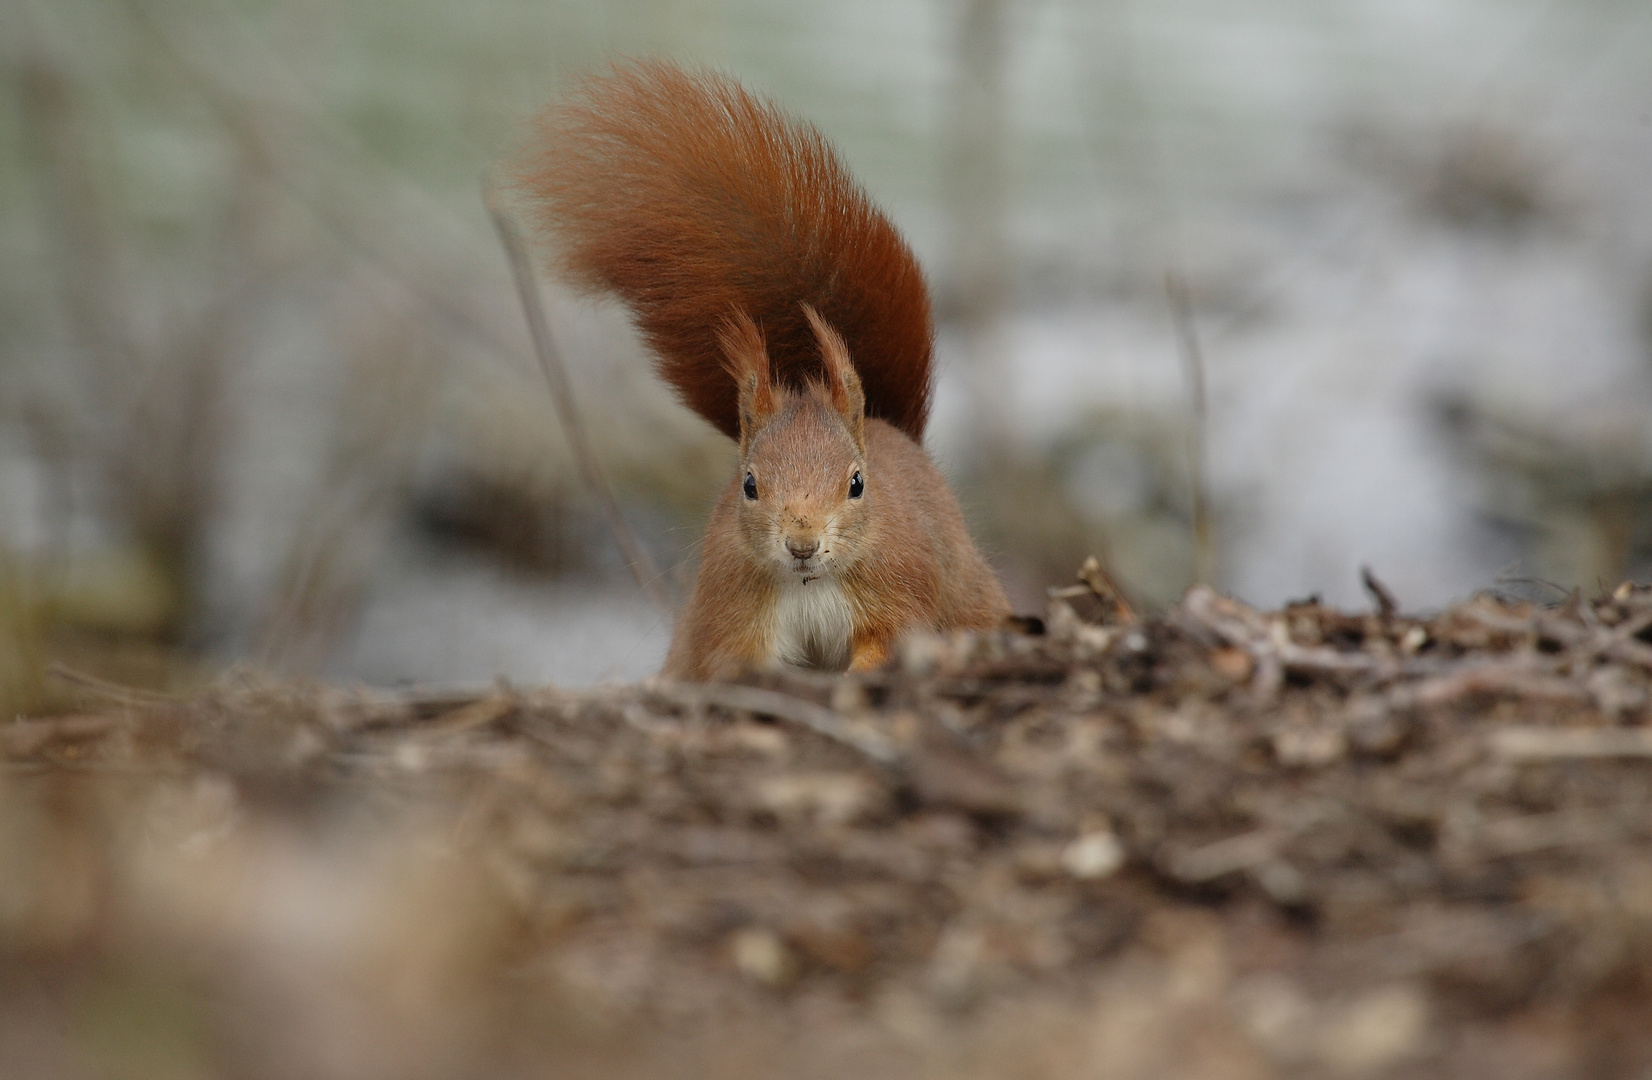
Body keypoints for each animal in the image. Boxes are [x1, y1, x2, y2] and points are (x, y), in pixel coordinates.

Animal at [512, 61, 1004, 677]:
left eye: (857, 484)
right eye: (748, 484)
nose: (802, 544)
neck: (810, 583)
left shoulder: (899, 591)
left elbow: (886, 644)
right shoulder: (732, 612)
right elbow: (736, 663)